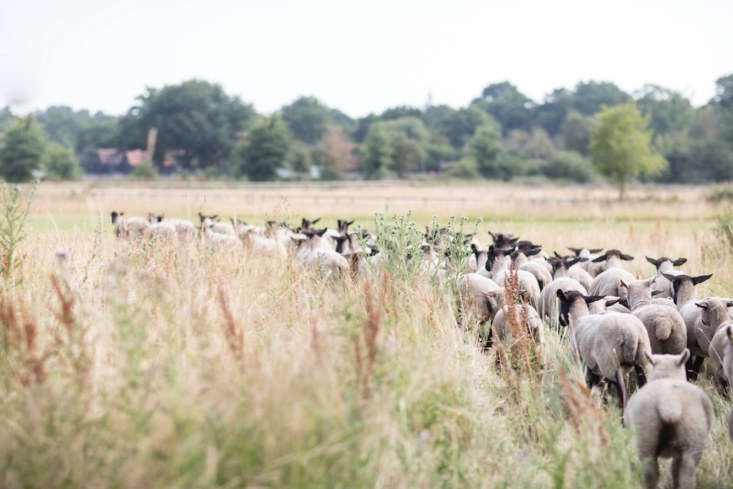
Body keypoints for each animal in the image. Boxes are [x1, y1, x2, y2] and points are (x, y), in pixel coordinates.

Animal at [620, 348, 712, 488]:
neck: (667, 377)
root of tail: (669, 400)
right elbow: (674, 470)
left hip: (646, 436)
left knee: (650, 472)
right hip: (692, 437)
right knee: (686, 473)